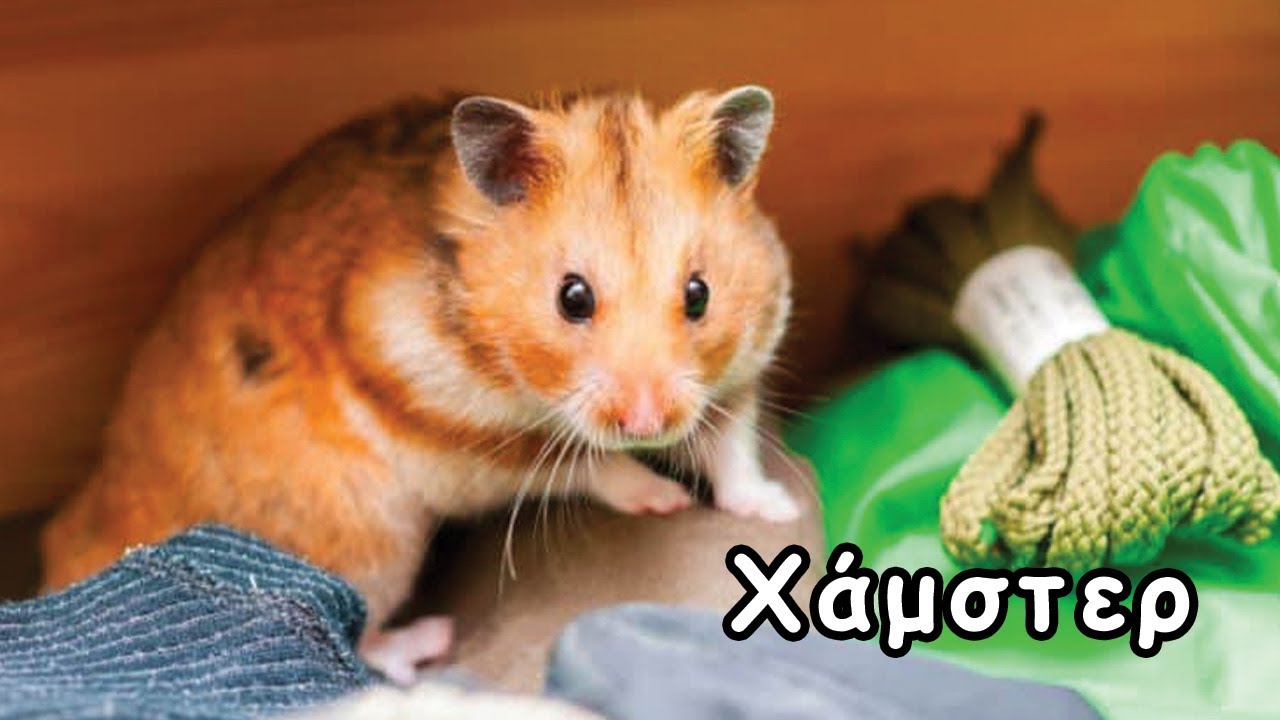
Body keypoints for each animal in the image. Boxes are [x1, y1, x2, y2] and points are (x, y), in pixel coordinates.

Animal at [40, 85, 799, 683]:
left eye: (699, 294)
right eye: (572, 297)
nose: (649, 425)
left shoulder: (739, 370)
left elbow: (732, 448)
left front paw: (776, 509)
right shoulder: (460, 435)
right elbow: (585, 467)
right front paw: (665, 499)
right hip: (367, 536)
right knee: (351, 628)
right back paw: (424, 642)